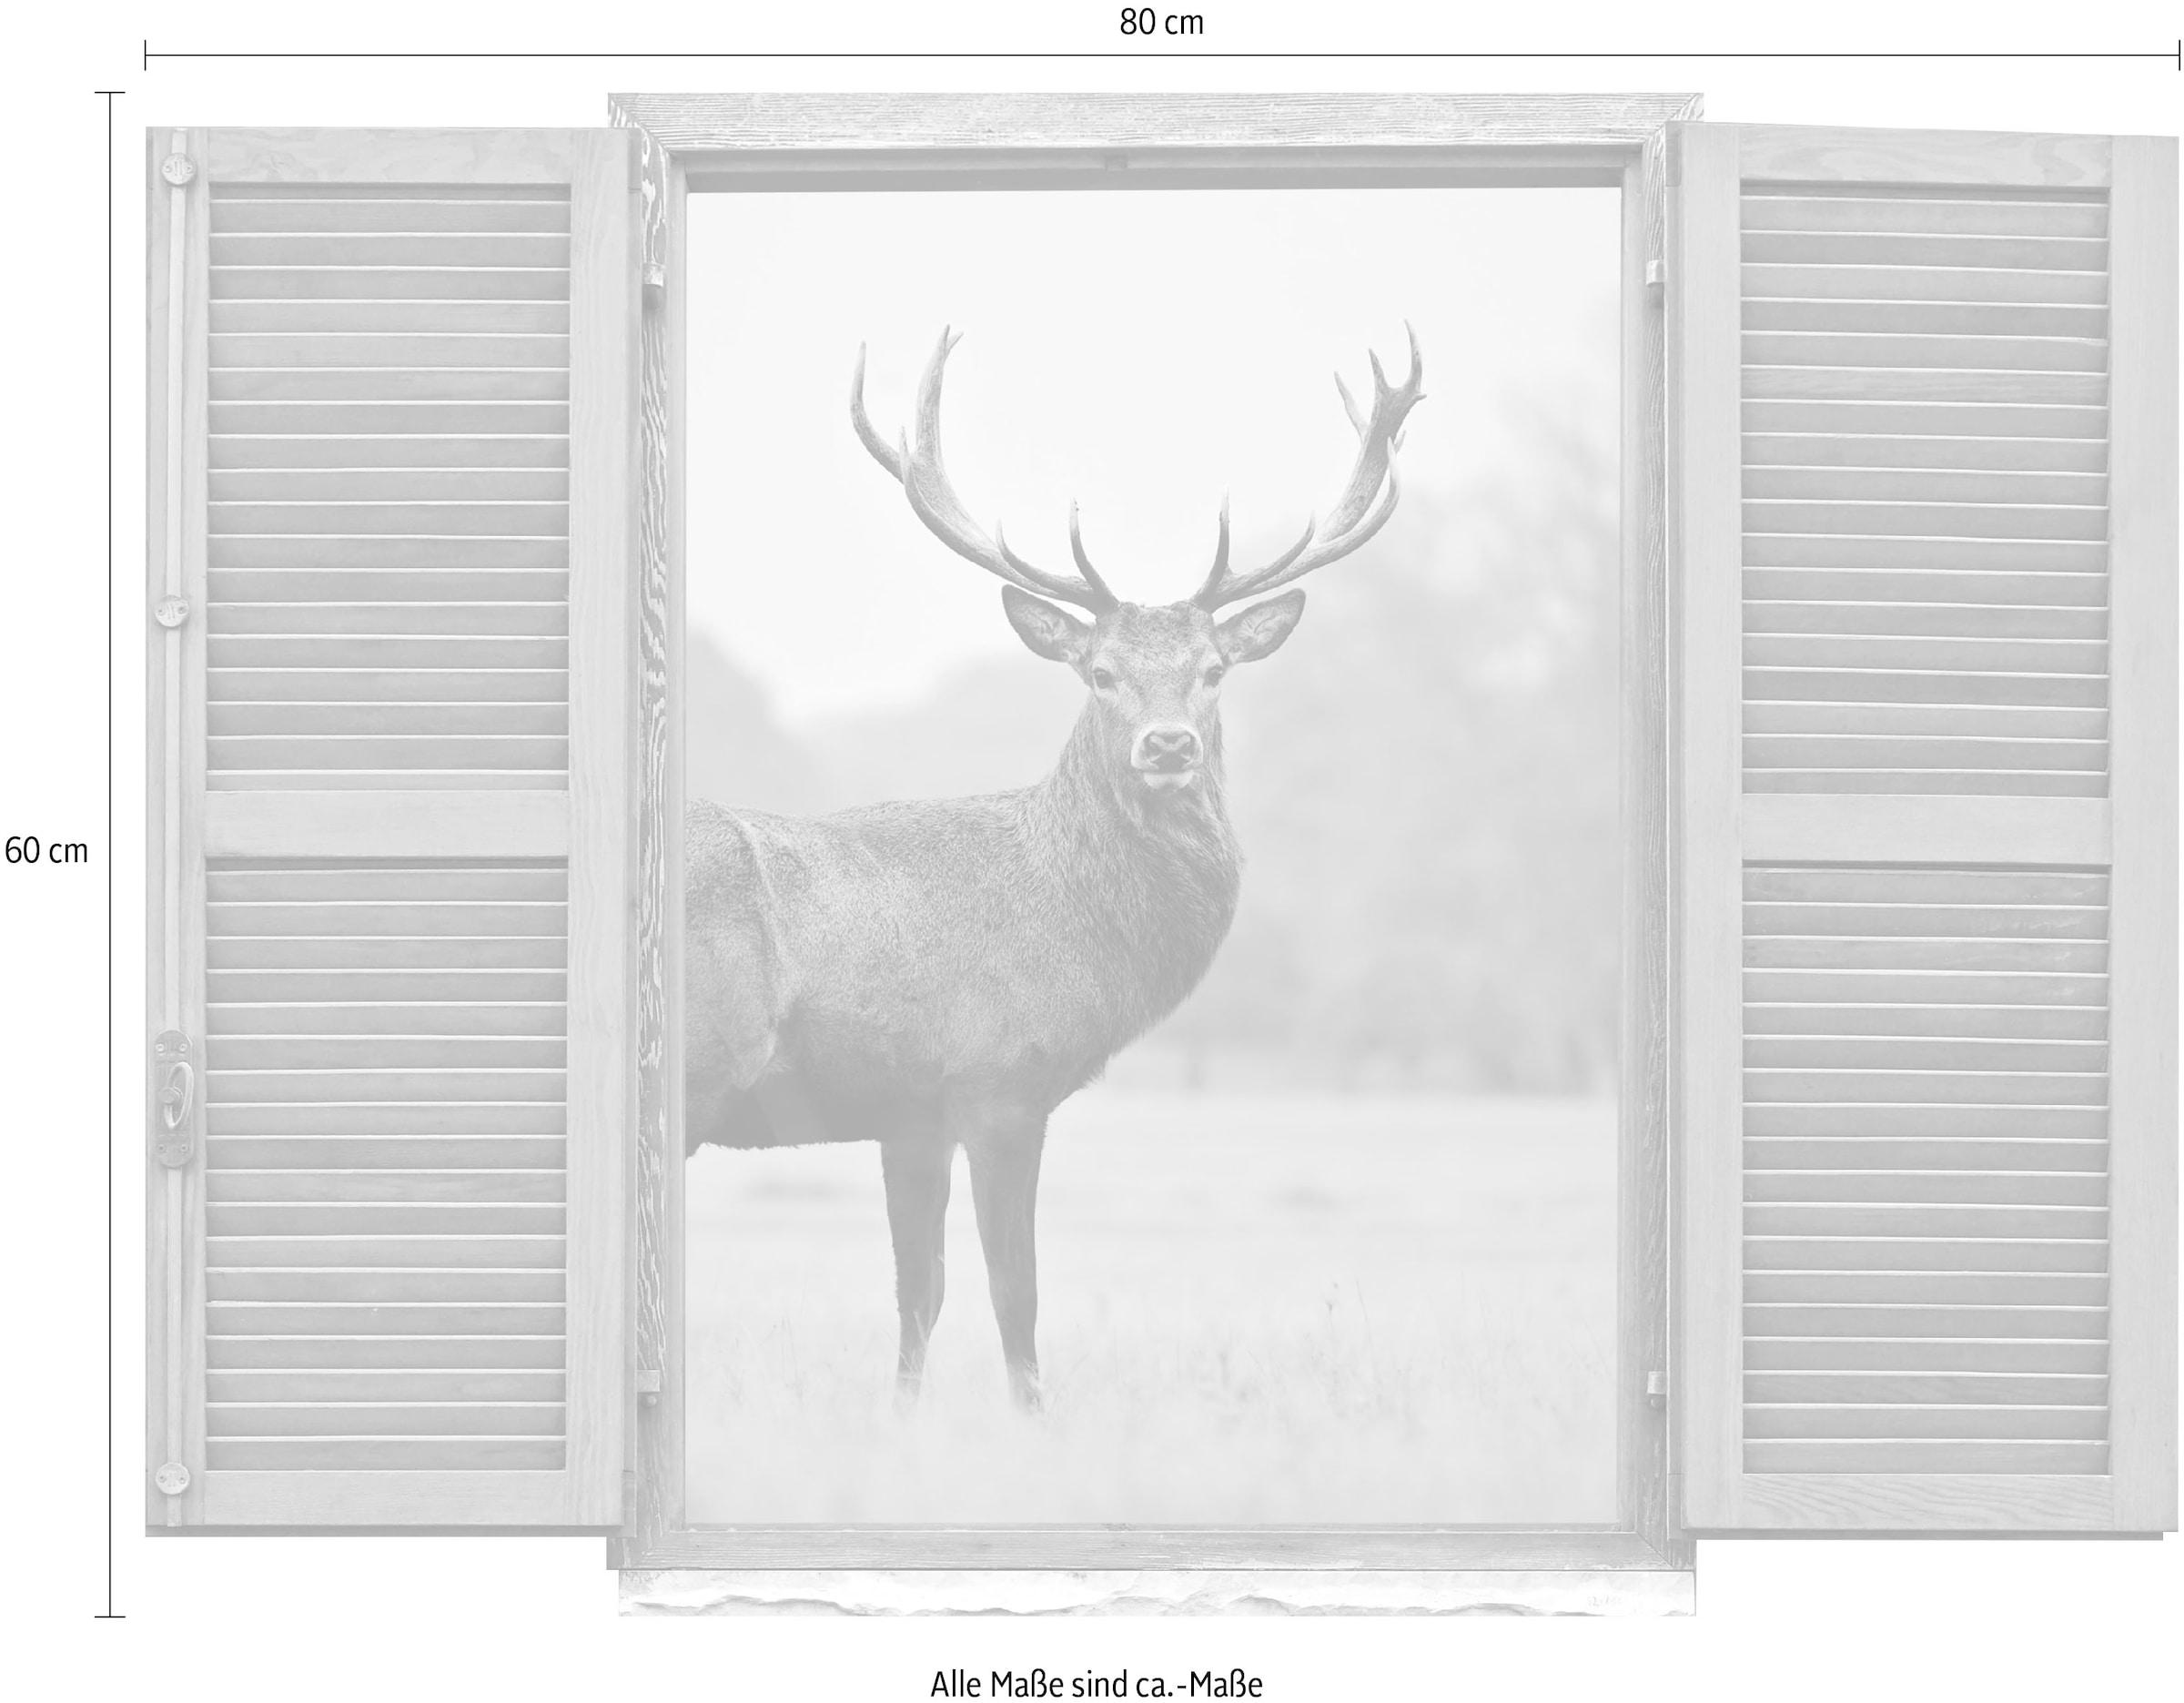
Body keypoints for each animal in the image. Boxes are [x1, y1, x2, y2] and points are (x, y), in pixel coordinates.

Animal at [685, 326, 1424, 1410]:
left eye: (1213, 670)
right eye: (1100, 672)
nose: (1168, 745)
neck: (1067, 918)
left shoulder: (911, 1115)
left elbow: (919, 1293)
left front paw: (903, 1423)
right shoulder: (1001, 1080)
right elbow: (1012, 1291)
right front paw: (1036, 1420)